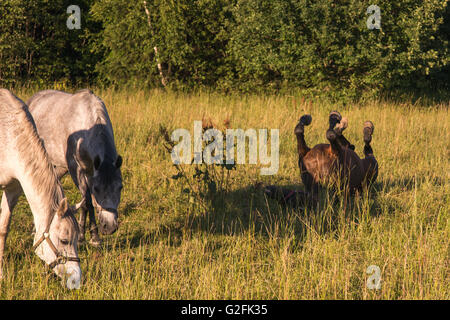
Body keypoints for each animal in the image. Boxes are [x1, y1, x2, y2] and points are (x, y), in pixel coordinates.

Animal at [27, 89, 123, 245]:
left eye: (120, 187)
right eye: (97, 188)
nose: (109, 227)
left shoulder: (89, 172)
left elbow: (88, 203)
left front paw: (87, 236)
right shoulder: (76, 170)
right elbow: (87, 202)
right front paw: (90, 237)